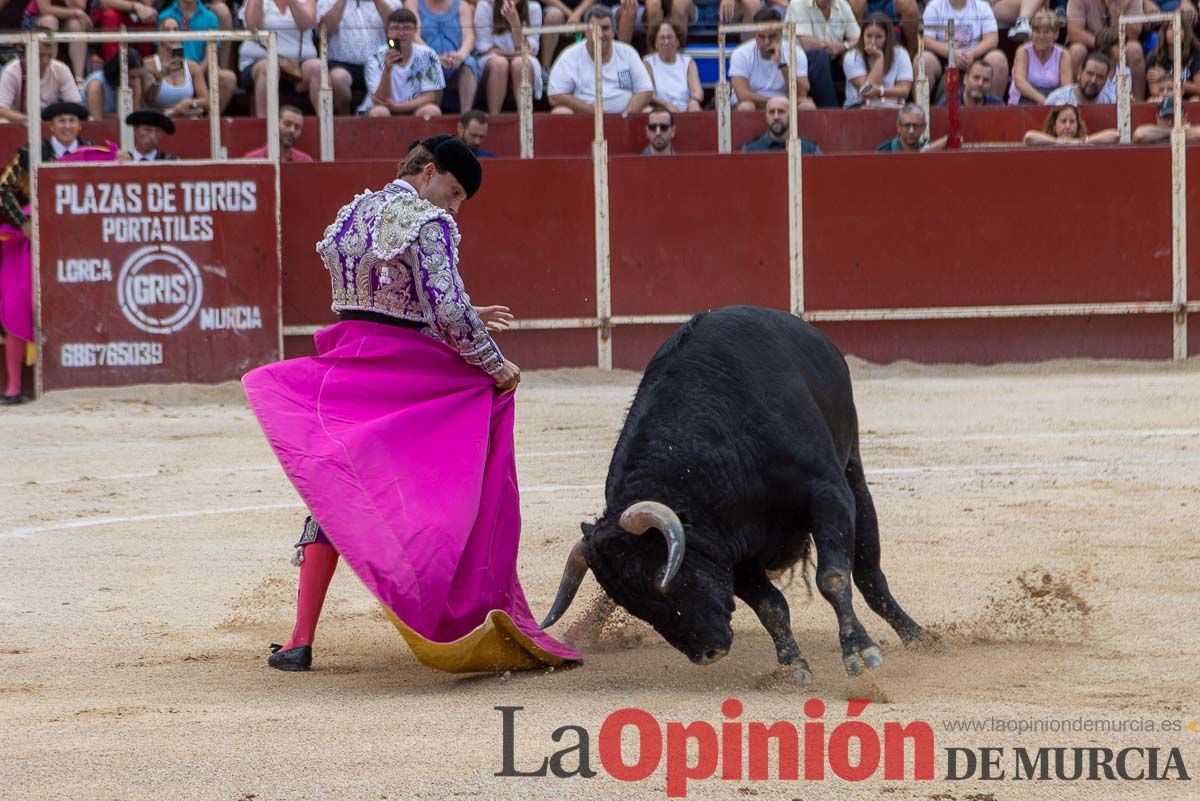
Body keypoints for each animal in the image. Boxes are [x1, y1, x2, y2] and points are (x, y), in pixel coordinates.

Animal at [544, 303, 926, 681]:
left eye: (658, 578)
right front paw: (792, 665)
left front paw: (859, 651)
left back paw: (919, 637)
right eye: (630, 603)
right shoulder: (727, 548)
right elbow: (771, 606)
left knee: (868, 572)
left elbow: (833, 577)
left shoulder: (827, 496)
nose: (707, 653)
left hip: (853, 472)